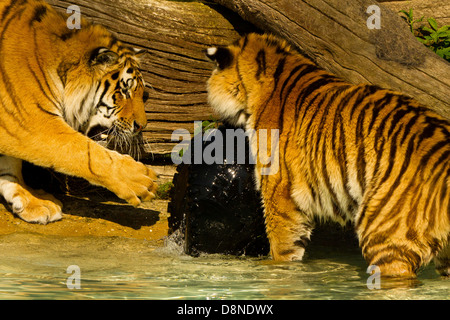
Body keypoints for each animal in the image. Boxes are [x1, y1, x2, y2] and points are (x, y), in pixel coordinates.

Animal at [0, 0, 158, 224]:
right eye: (124, 91)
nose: (142, 126)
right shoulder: (31, 121)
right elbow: (87, 152)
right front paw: (139, 179)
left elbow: (9, 166)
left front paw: (32, 201)